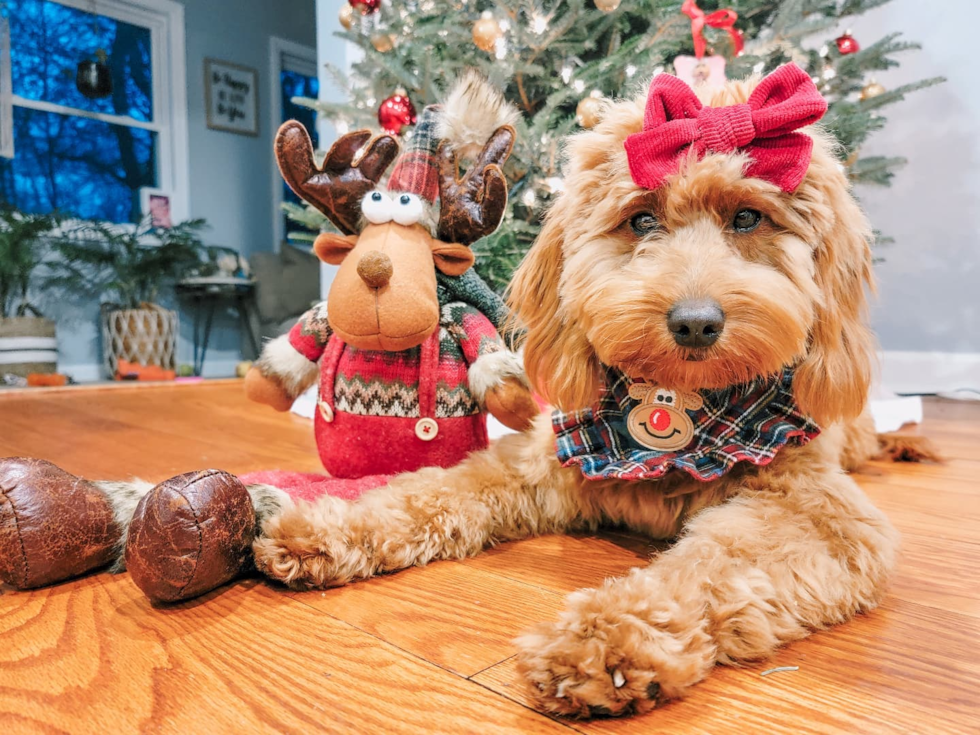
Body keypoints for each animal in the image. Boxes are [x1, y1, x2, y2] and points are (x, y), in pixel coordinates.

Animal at [251, 64, 896, 720]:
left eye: (747, 218)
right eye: (641, 219)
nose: (695, 323)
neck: (681, 409)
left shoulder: (819, 514)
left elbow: (710, 565)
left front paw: (605, 641)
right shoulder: (537, 461)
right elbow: (431, 490)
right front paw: (325, 526)